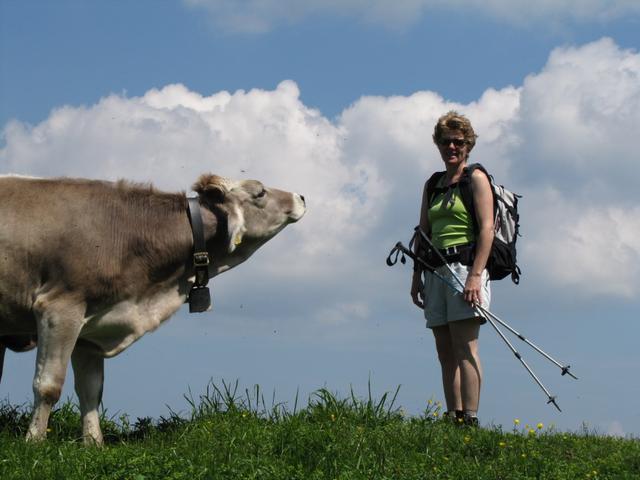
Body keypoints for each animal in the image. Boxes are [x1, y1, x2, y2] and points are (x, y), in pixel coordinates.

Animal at [0, 173, 304, 446]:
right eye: (260, 192)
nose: (300, 196)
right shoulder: (60, 309)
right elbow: (48, 385)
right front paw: (34, 442)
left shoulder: (92, 329)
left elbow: (91, 390)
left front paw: (93, 444)